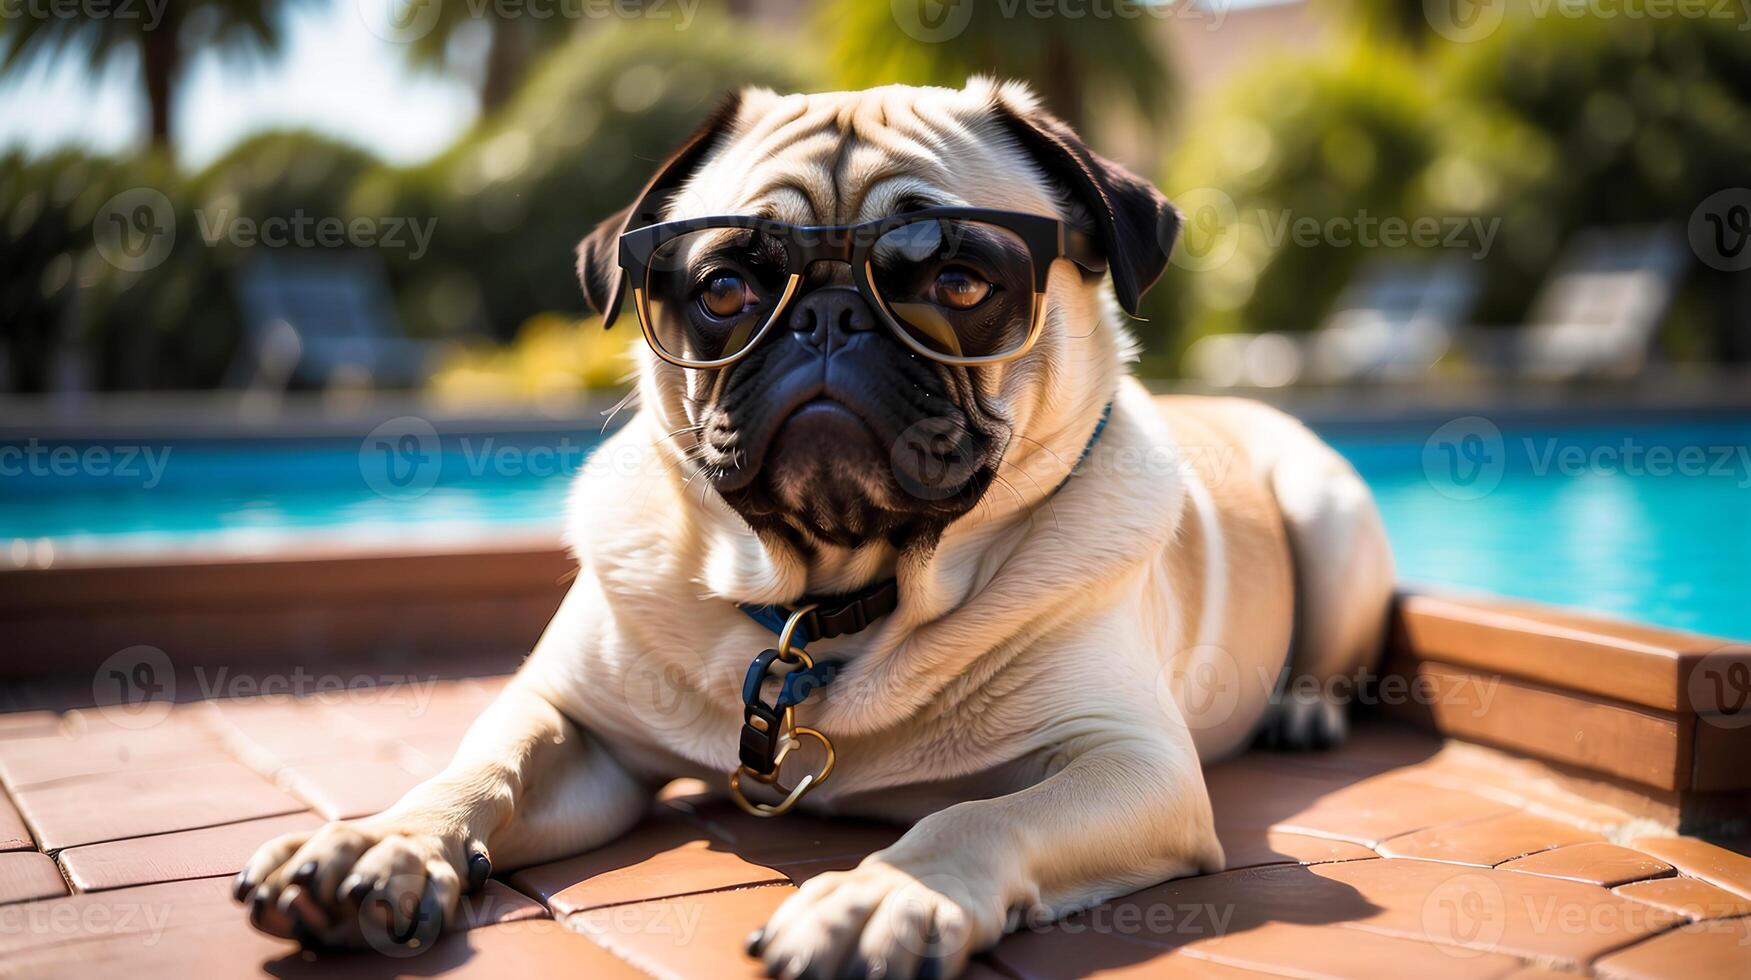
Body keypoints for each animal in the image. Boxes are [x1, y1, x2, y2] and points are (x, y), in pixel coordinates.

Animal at [239, 80, 1400, 973]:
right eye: (722, 288)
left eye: (958, 280)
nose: (825, 314)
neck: (828, 599)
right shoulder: (575, 721)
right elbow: (480, 766)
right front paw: (381, 843)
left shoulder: (1129, 763)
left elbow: (976, 814)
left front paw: (882, 895)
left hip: (1327, 513)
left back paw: (1300, 710)